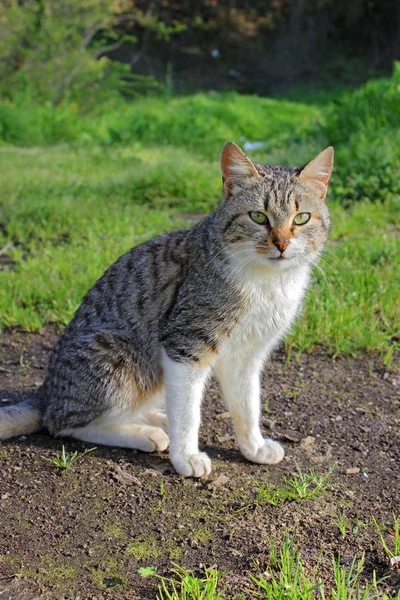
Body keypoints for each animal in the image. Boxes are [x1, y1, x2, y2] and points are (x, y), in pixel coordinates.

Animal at [0, 141, 332, 478]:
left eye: (301, 218)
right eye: (258, 217)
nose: (282, 243)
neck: (267, 282)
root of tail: (46, 393)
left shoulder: (247, 354)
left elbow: (248, 405)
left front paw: (253, 447)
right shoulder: (185, 343)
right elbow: (187, 413)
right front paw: (186, 457)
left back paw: (156, 418)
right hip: (116, 357)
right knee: (65, 422)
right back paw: (146, 433)